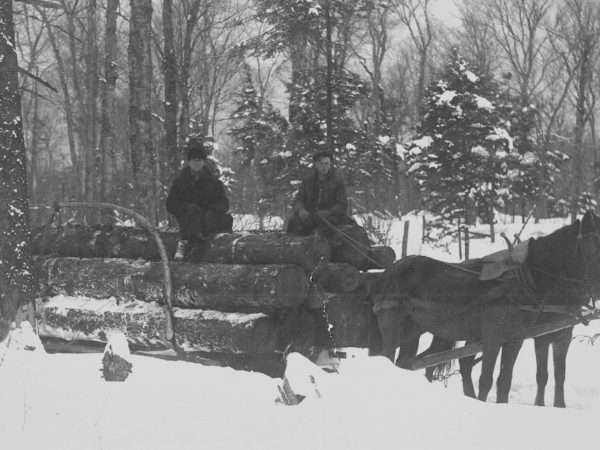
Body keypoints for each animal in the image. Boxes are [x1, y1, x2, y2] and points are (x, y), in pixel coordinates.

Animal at [370, 211, 600, 404]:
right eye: (593, 244)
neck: (519, 282)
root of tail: (393, 268)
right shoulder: (493, 339)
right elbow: (486, 379)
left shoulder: (515, 340)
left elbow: (504, 380)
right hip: (392, 322)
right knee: (389, 356)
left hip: (415, 330)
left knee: (408, 362)